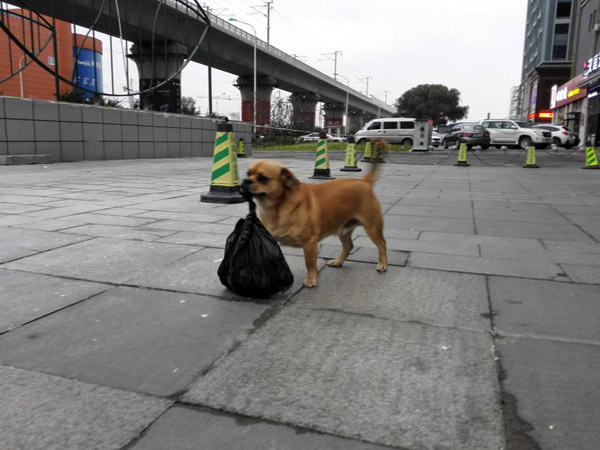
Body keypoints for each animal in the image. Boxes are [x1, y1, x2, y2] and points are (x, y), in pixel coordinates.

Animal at [241, 162, 386, 286]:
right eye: (248, 173)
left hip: (372, 227)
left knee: (382, 244)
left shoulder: (309, 243)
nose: (245, 181)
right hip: (343, 230)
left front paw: (311, 279)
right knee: (348, 246)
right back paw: (338, 262)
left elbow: (310, 263)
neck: (277, 207)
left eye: (262, 178)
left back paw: (383, 264)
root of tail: (365, 181)